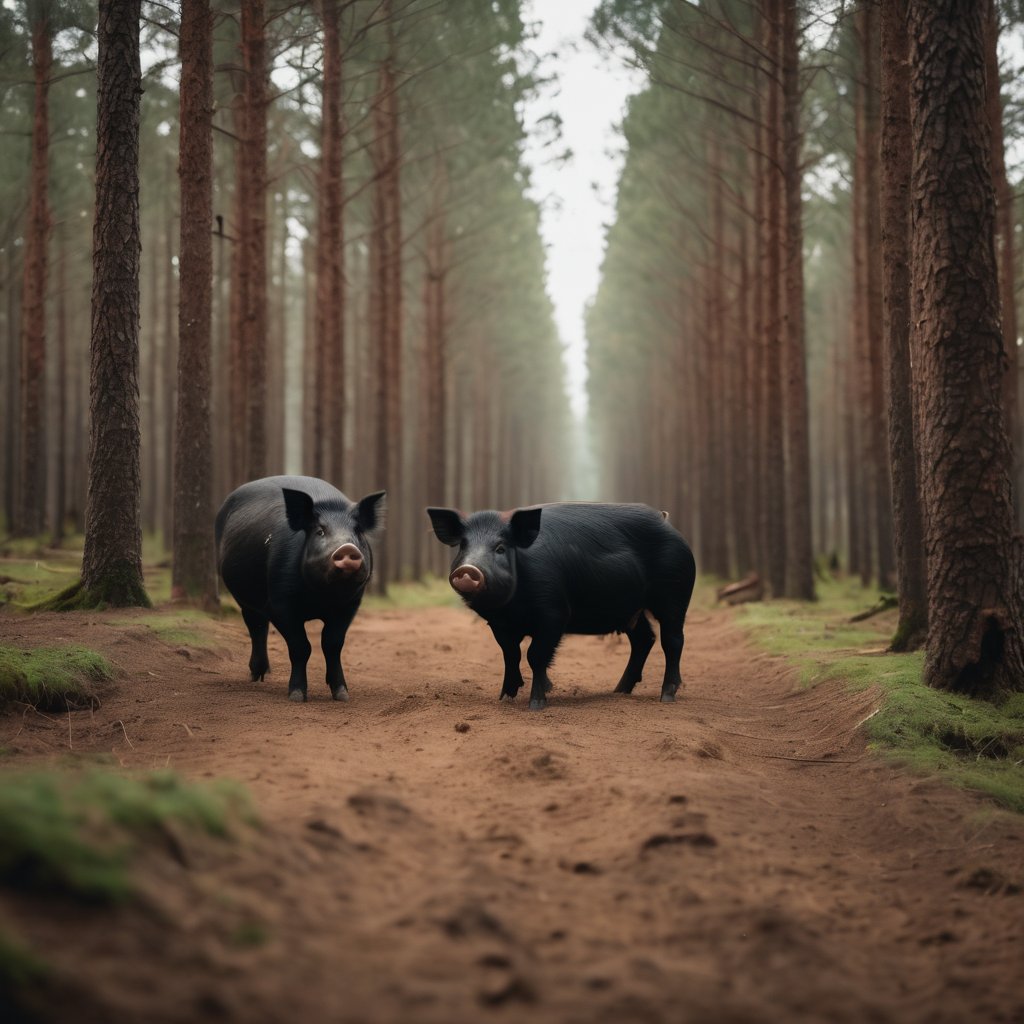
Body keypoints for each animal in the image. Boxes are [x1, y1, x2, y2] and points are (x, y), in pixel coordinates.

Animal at [215, 477, 385, 704]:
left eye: (357, 531)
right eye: (320, 531)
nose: (347, 548)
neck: (321, 596)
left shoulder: (350, 604)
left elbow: (333, 644)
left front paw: (342, 695)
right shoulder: (280, 605)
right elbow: (300, 647)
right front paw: (297, 696)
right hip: (242, 597)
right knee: (256, 627)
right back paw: (257, 676)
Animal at [423, 503, 696, 712]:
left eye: (500, 548)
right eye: (463, 546)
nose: (467, 570)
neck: (512, 609)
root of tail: (665, 520)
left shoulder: (554, 615)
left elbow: (535, 655)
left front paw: (536, 704)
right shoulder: (499, 624)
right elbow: (510, 654)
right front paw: (505, 697)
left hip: (674, 597)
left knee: (673, 640)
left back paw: (666, 696)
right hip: (631, 611)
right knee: (644, 639)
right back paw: (618, 691)